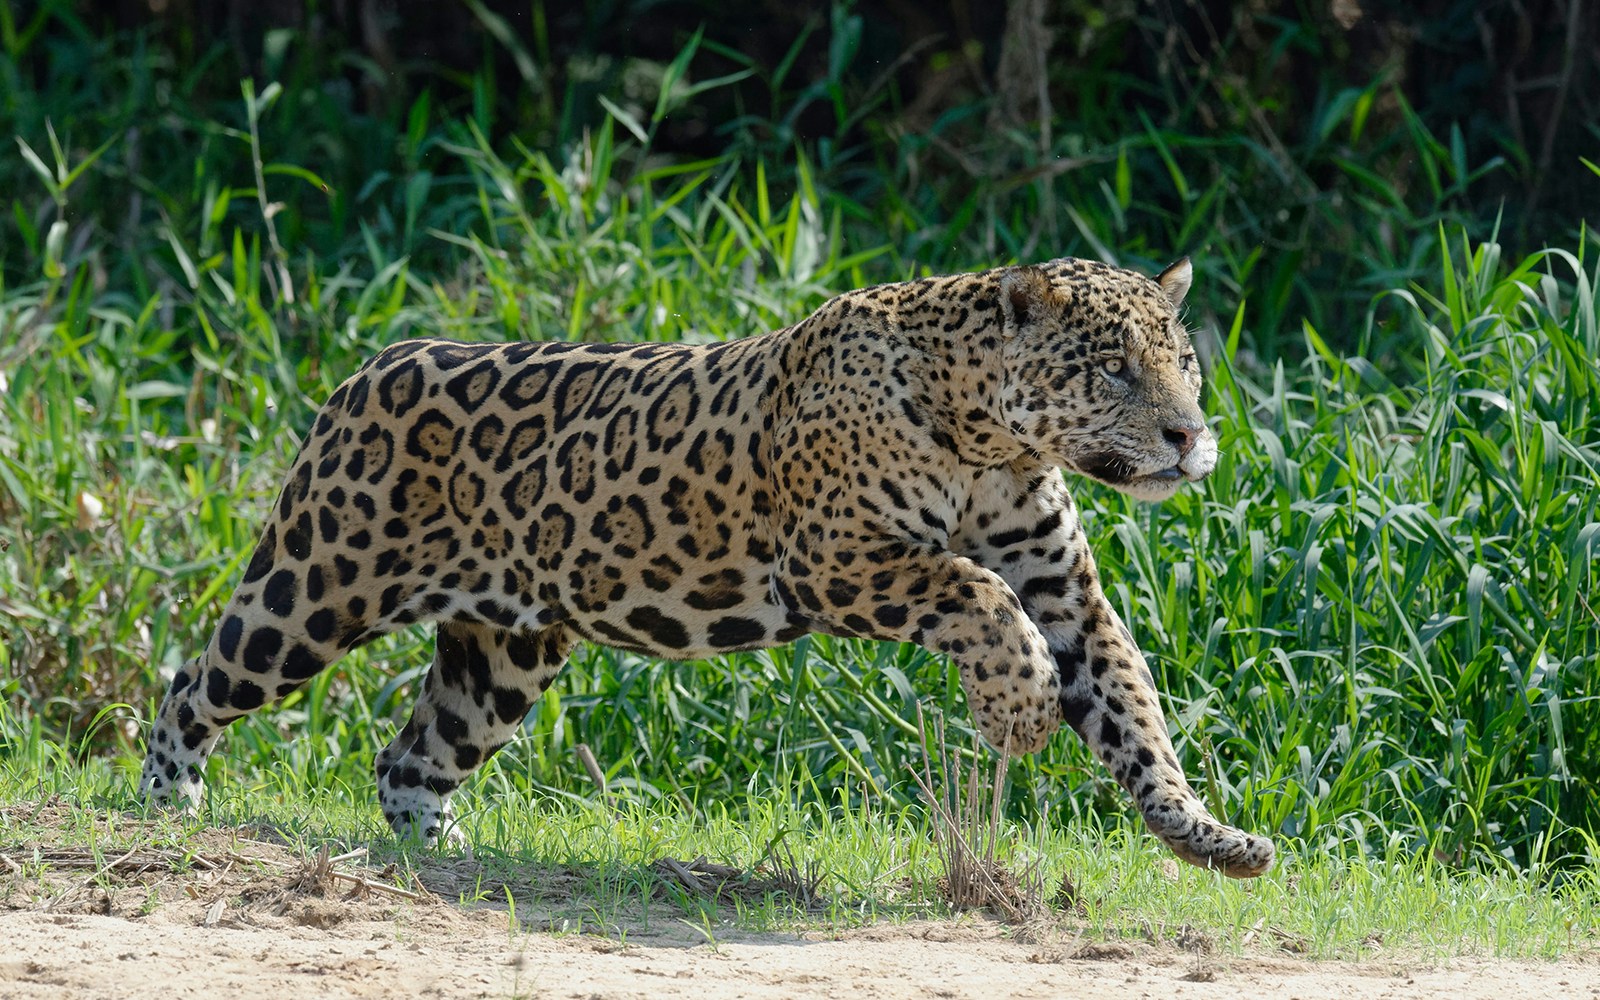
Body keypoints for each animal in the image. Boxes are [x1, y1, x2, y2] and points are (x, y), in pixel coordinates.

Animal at [140, 255, 1276, 878]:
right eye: (1110, 368)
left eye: (1183, 359)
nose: (1187, 436)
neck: (989, 438)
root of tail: (371, 363)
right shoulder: (837, 557)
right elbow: (973, 590)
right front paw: (1020, 703)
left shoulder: (1066, 592)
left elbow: (1132, 708)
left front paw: (1206, 837)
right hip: (313, 592)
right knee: (194, 681)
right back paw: (166, 805)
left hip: (502, 652)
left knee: (410, 756)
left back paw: (443, 855)